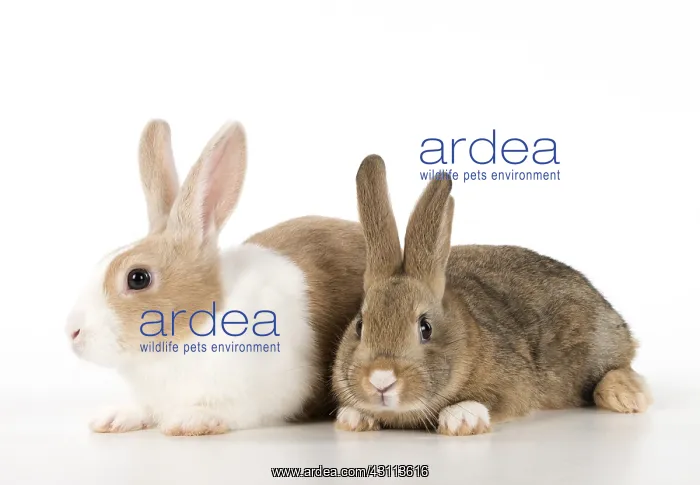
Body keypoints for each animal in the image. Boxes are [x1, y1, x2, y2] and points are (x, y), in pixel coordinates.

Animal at [65, 120, 366, 436]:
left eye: (137, 278)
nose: (72, 331)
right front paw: (114, 417)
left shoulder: (273, 392)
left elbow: (233, 410)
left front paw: (190, 420)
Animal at [332, 154, 651, 436]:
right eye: (360, 326)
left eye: (425, 327)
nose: (381, 379)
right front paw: (353, 419)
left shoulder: (514, 385)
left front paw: (461, 419)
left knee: (620, 368)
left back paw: (627, 398)